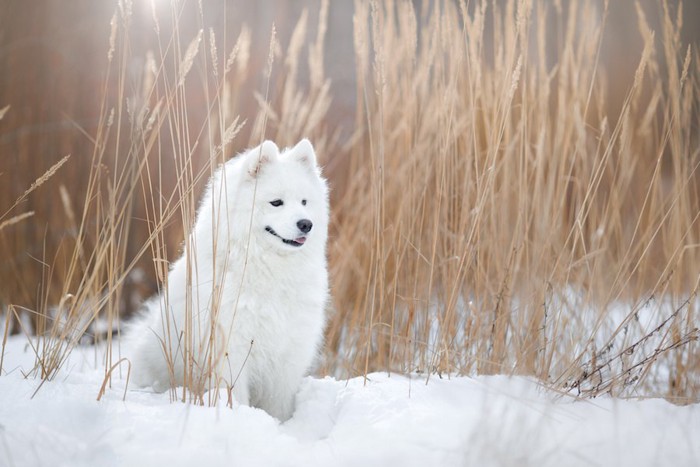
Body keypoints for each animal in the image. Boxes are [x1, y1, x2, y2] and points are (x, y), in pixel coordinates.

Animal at [127, 139, 330, 420]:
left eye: (304, 202)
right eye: (276, 202)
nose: (306, 224)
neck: (267, 268)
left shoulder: (288, 354)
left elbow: (279, 405)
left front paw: (281, 425)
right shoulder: (230, 348)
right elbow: (235, 394)